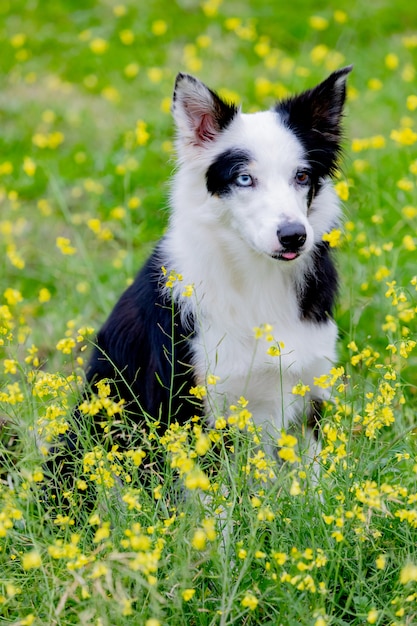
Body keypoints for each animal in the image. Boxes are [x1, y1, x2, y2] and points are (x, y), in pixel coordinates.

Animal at [83, 67, 350, 458]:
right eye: (244, 178)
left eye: (301, 176)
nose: (294, 236)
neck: (257, 279)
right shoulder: (193, 403)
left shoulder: (308, 393)